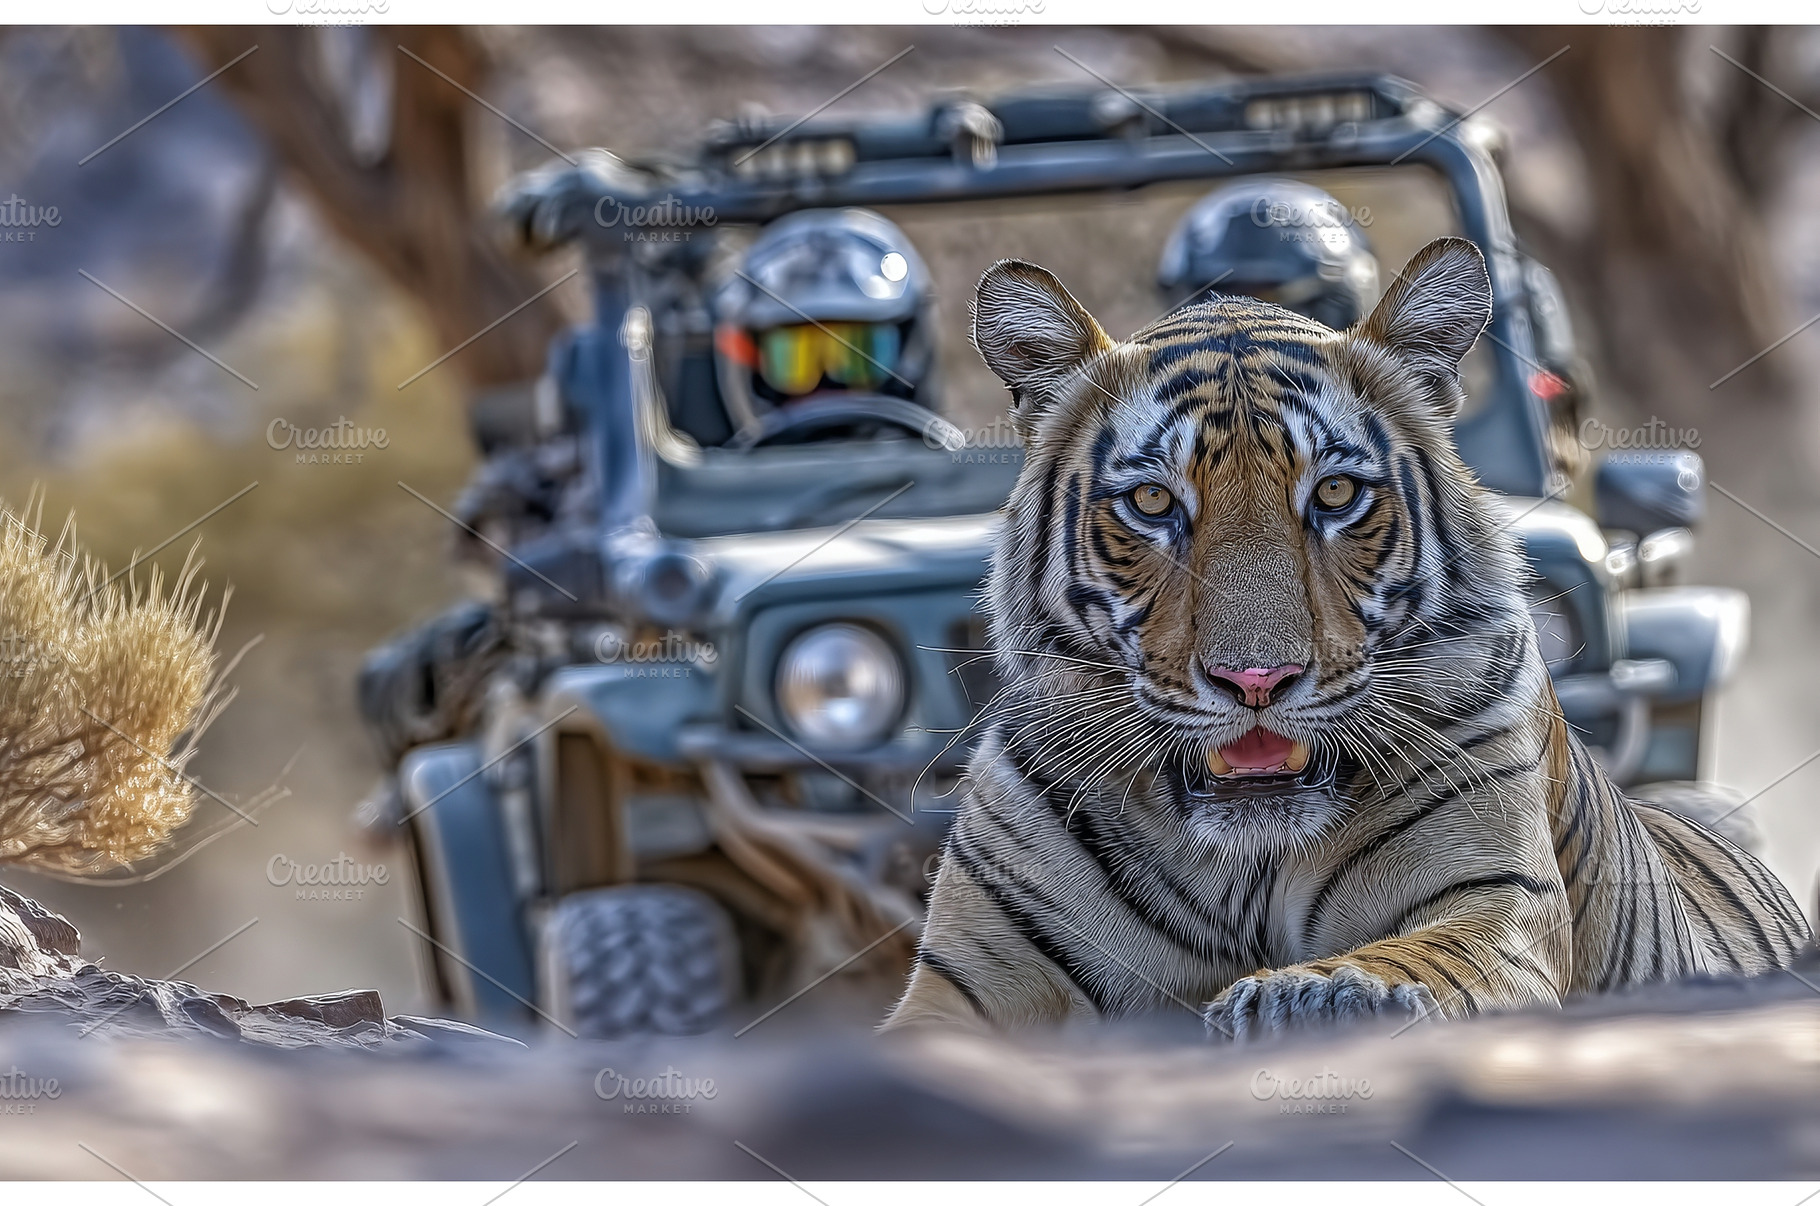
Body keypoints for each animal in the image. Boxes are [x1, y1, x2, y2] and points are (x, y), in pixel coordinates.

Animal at [885, 237, 1811, 1040]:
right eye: (1152, 502)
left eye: (1334, 493)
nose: (1257, 680)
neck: (1241, 865)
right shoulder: (965, 979)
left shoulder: (1489, 897)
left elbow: (1412, 957)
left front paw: (1313, 993)